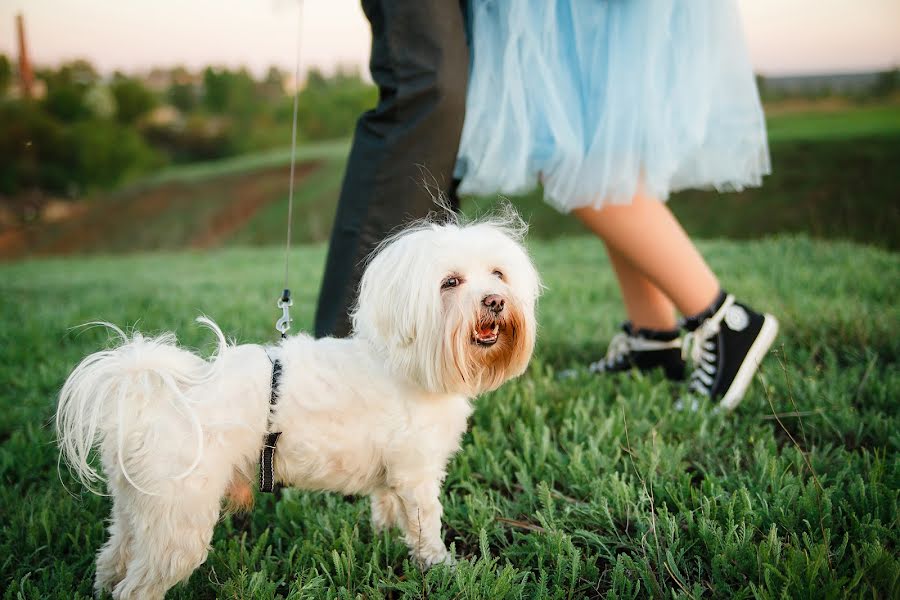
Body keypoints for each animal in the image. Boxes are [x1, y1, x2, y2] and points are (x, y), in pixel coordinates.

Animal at [59, 216, 544, 600]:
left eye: (498, 274)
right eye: (450, 282)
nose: (495, 301)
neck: (407, 363)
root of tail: (147, 392)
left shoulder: (391, 479)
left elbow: (386, 513)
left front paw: (385, 542)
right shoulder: (416, 477)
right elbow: (426, 531)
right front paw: (443, 570)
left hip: (136, 510)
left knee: (111, 561)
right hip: (178, 523)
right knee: (136, 588)